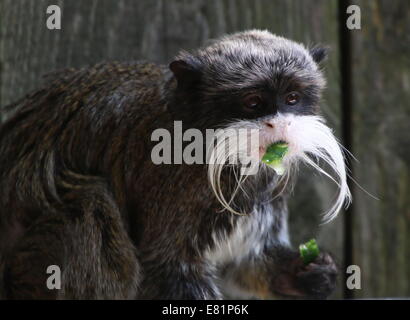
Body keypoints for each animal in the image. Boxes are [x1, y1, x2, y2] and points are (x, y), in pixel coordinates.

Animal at [0, 30, 350, 300]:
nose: (281, 126)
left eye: (292, 98)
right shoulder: (175, 185)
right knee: (90, 205)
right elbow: (167, 266)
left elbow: (244, 262)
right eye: (253, 103)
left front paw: (307, 274)